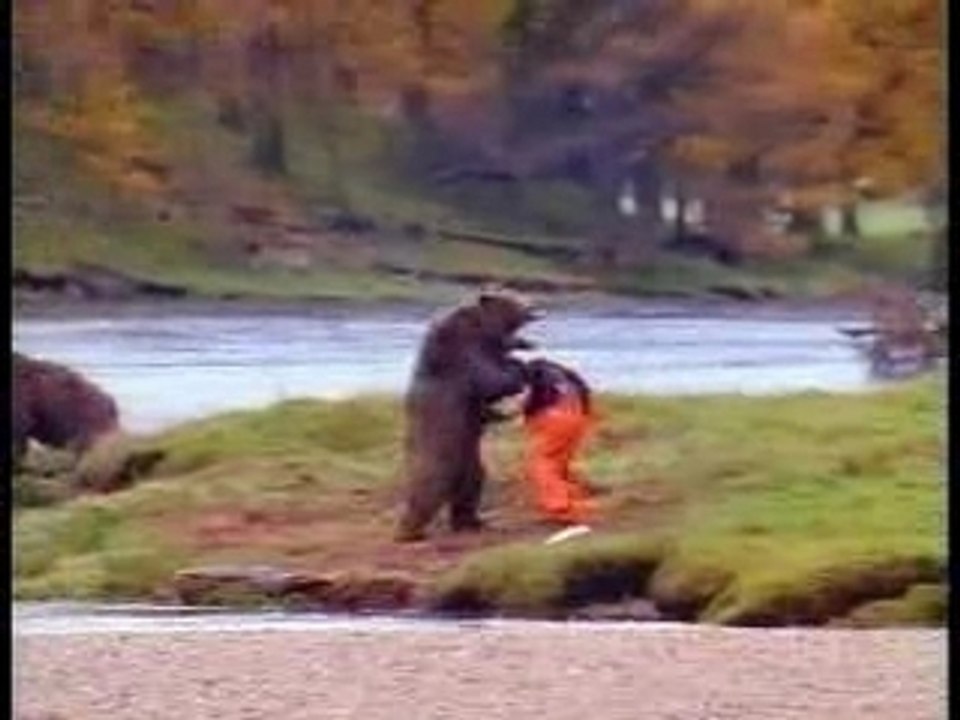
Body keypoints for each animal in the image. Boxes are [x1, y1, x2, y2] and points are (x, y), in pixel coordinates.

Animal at [395, 289, 542, 542]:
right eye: (514, 298)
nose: (535, 307)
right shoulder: (463, 356)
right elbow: (492, 379)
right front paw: (521, 367)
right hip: (438, 450)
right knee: (428, 487)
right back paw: (408, 531)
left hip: (468, 458)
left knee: (471, 485)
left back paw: (473, 523)